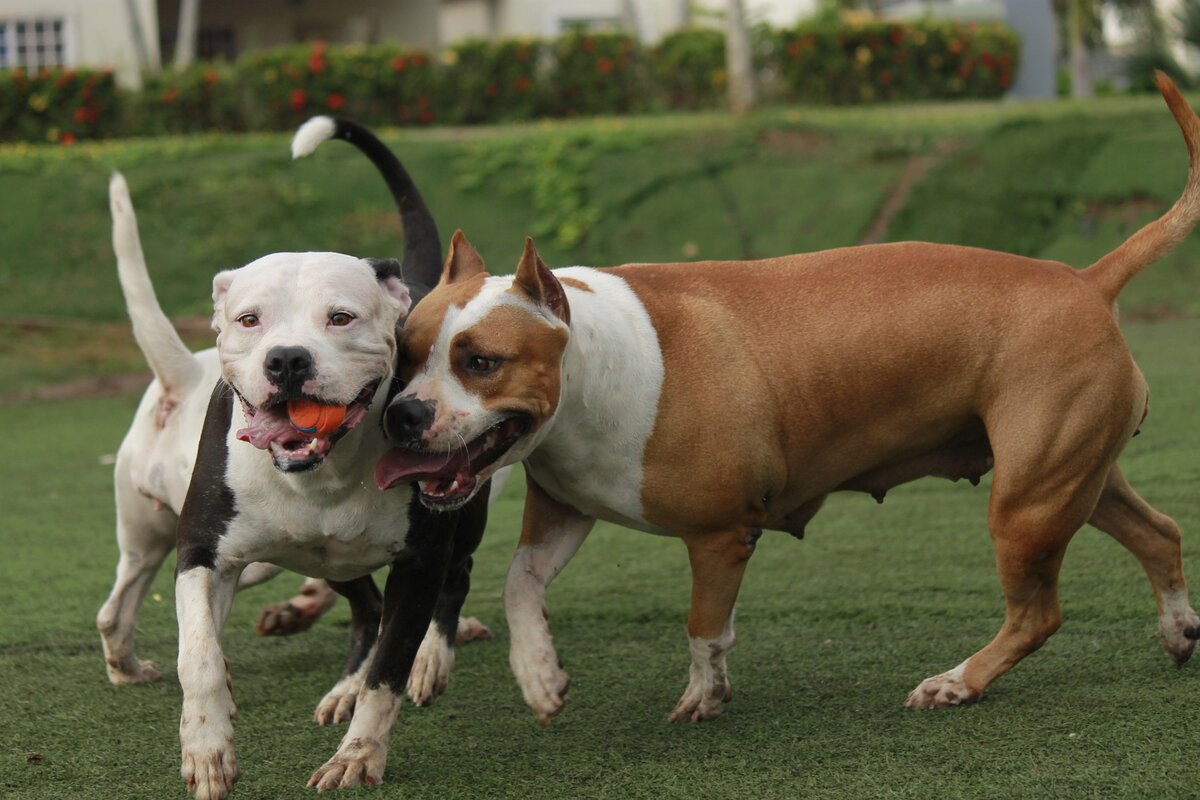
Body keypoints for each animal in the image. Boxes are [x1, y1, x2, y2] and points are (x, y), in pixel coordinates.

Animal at [374, 74, 1200, 724]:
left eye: (481, 362)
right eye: (404, 353)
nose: (402, 414)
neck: (589, 365)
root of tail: (1088, 278)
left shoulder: (718, 534)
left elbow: (704, 625)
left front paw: (703, 696)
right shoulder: (565, 509)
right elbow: (520, 584)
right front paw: (540, 676)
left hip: (1027, 502)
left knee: (1038, 613)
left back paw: (958, 682)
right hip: (1072, 477)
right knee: (1158, 533)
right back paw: (1178, 631)